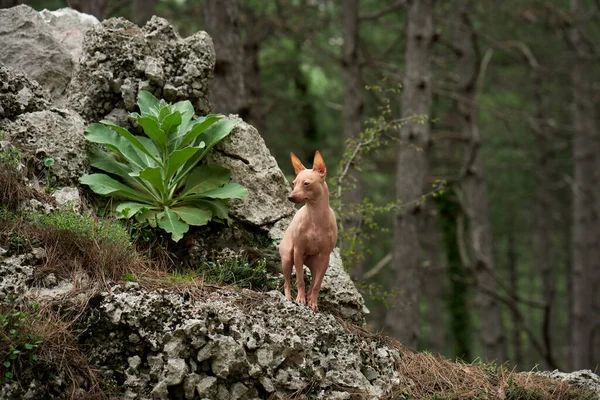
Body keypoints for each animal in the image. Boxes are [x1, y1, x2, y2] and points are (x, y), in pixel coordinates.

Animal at [280, 152, 338, 310]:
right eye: (293, 183)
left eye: (306, 183)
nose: (290, 197)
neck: (315, 217)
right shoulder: (298, 251)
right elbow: (300, 280)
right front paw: (300, 299)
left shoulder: (325, 257)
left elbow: (317, 285)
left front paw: (313, 302)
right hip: (288, 258)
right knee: (287, 283)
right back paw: (288, 299)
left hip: (316, 264)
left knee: (312, 284)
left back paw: (310, 298)